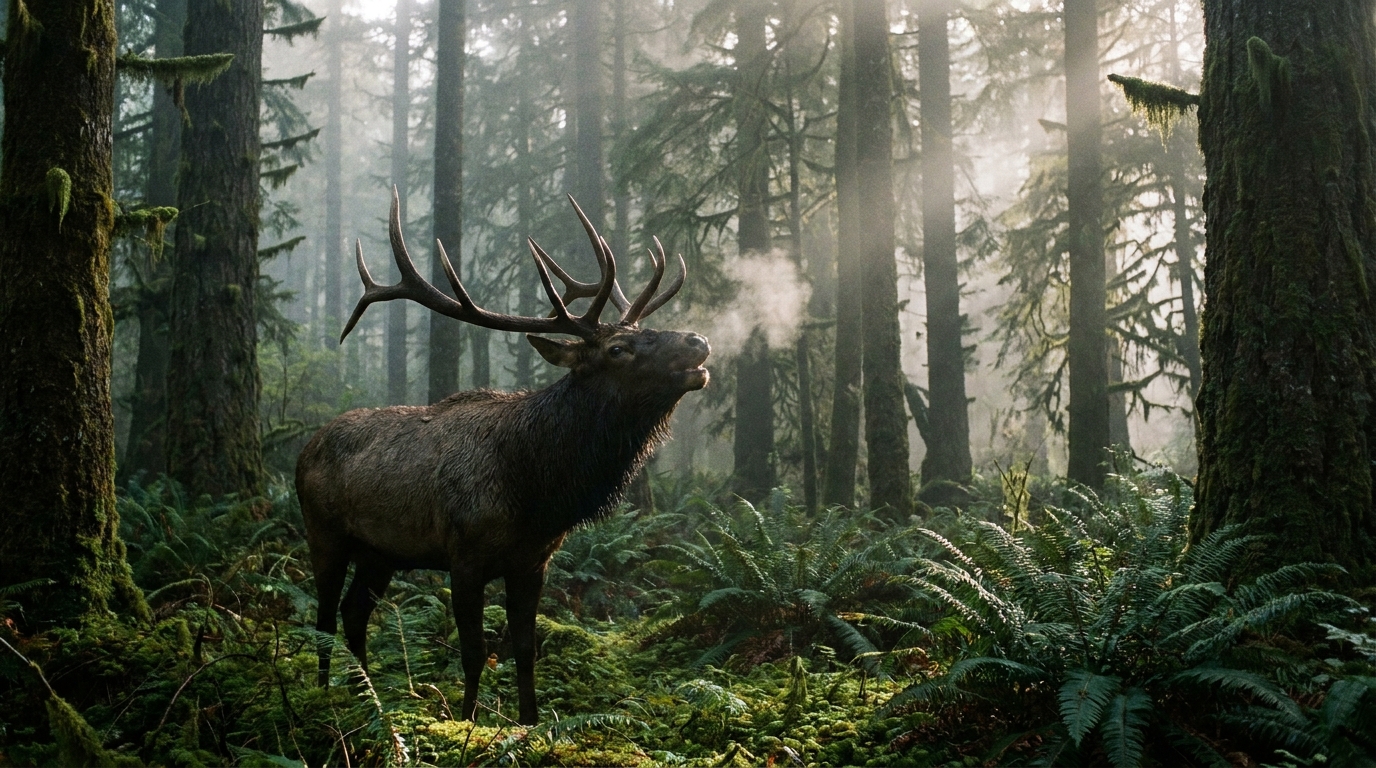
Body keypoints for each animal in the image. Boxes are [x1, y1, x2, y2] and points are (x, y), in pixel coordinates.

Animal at [295, 189, 709, 725]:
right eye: (619, 348)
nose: (698, 340)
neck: (535, 488)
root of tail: (305, 449)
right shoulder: (464, 557)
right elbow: (474, 653)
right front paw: (467, 723)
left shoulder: (533, 562)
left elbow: (526, 650)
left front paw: (529, 723)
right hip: (323, 532)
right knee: (324, 616)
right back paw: (326, 696)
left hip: (379, 552)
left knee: (353, 613)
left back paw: (367, 699)